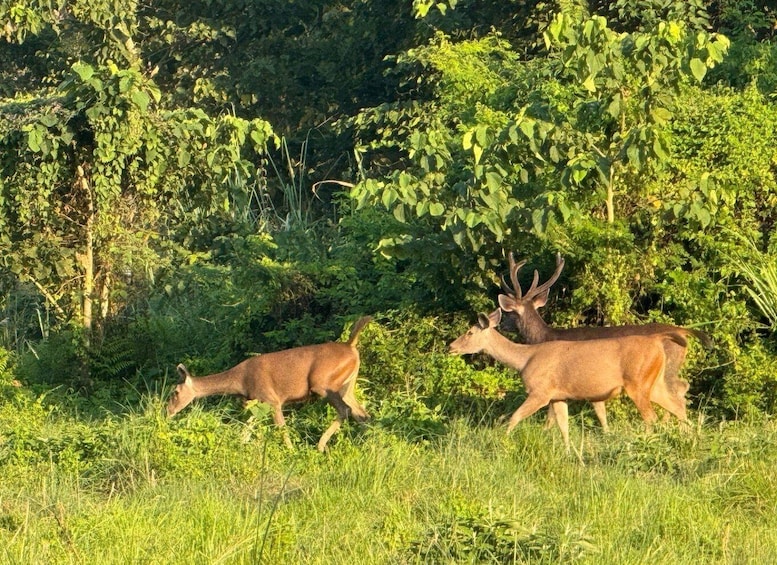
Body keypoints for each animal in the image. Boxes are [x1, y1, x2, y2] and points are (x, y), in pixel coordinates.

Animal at [167, 316, 373, 452]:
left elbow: (281, 428)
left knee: (345, 410)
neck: (240, 381)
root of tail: (351, 346)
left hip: (323, 384)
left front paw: (291, 452)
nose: (168, 411)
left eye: (175, 392)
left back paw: (321, 446)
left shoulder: (272, 399)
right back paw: (366, 444)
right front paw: (238, 446)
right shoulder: (258, 402)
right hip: (347, 385)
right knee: (362, 414)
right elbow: (247, 428)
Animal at [449, 309, 689, 451]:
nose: (451, 346)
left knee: (652, 417)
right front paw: (567, 451)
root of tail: (657, 342)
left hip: (638, 382)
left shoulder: (540, 392)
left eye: (469, 332)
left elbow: (515, 417)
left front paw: (501, 441)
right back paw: (689, 438)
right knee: (677, 405)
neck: (525, 359)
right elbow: (563, 425)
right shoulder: (558, 396)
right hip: (654, 383)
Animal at [497, 252, 711, 431]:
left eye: (510, 312)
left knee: (677, 390)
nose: (500, 323)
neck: (545, 336)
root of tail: (683, 331)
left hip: (667, 368)